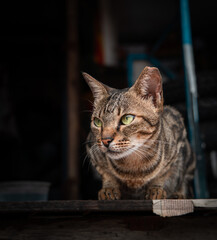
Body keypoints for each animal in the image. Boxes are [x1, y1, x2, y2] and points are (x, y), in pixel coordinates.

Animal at [82, 66, 195, 200]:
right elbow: (106, 174)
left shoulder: (177, 135)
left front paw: (156, 188)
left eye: (127, 118)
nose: (105, 140)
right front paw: (109, 188)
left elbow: (164, 174)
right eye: (97, 122)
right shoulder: (92, 148)